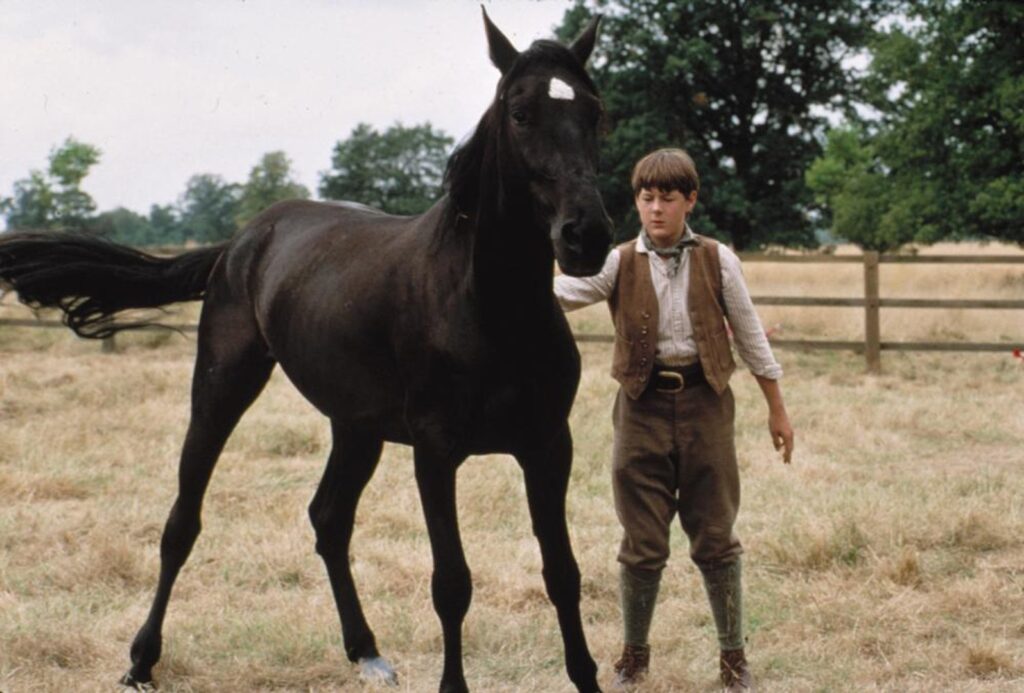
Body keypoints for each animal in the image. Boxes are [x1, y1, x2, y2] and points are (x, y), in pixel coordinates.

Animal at [0, 9, 606, 691]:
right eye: (521, 112)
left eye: (594, 111)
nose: (586, 236)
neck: (488, 307)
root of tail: (240, 241)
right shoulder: (436, 453)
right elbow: (452, 583)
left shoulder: (548, 446)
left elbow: (564, 573)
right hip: (221, 387)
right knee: (183, 523)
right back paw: (140, 660)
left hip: (356, 426)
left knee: (329, 519)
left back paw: (366, 650)